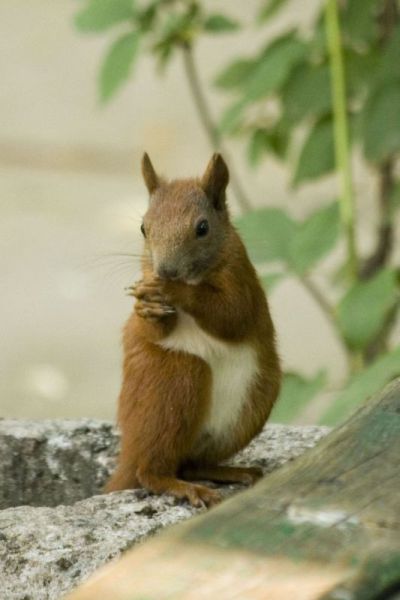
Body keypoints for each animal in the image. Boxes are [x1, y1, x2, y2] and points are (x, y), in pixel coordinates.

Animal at [105, 154, 282, 506]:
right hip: (170, 381)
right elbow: (151, 331)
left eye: (202, 228)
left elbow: (231, 315)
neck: (195, 276)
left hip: (251, 404)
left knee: (186, 465)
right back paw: (184, 486)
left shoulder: (242, 281)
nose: (165, 271)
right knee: (151, 470)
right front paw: (145, 308)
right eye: (143, 228)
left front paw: (173, 291)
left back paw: (228, 473)